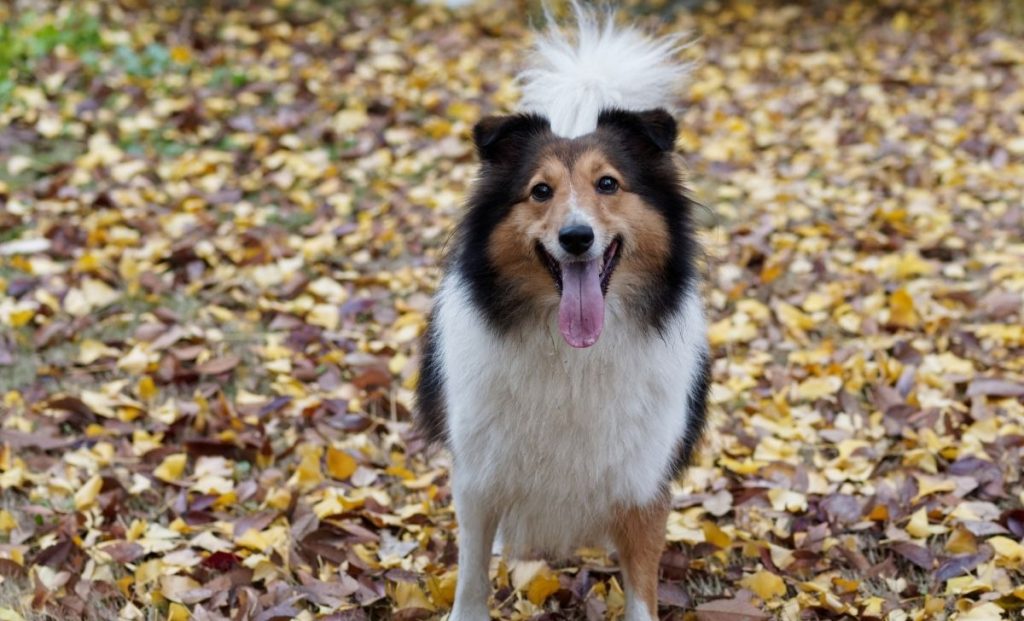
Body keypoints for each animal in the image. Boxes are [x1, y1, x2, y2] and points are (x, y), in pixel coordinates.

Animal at [411, 6, 708, 621]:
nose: (576, 238)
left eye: (608, 184)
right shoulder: (478, 474)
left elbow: (641, 589)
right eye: (540, 191)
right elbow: (471, 573)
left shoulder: (643, 485)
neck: (572, 357)